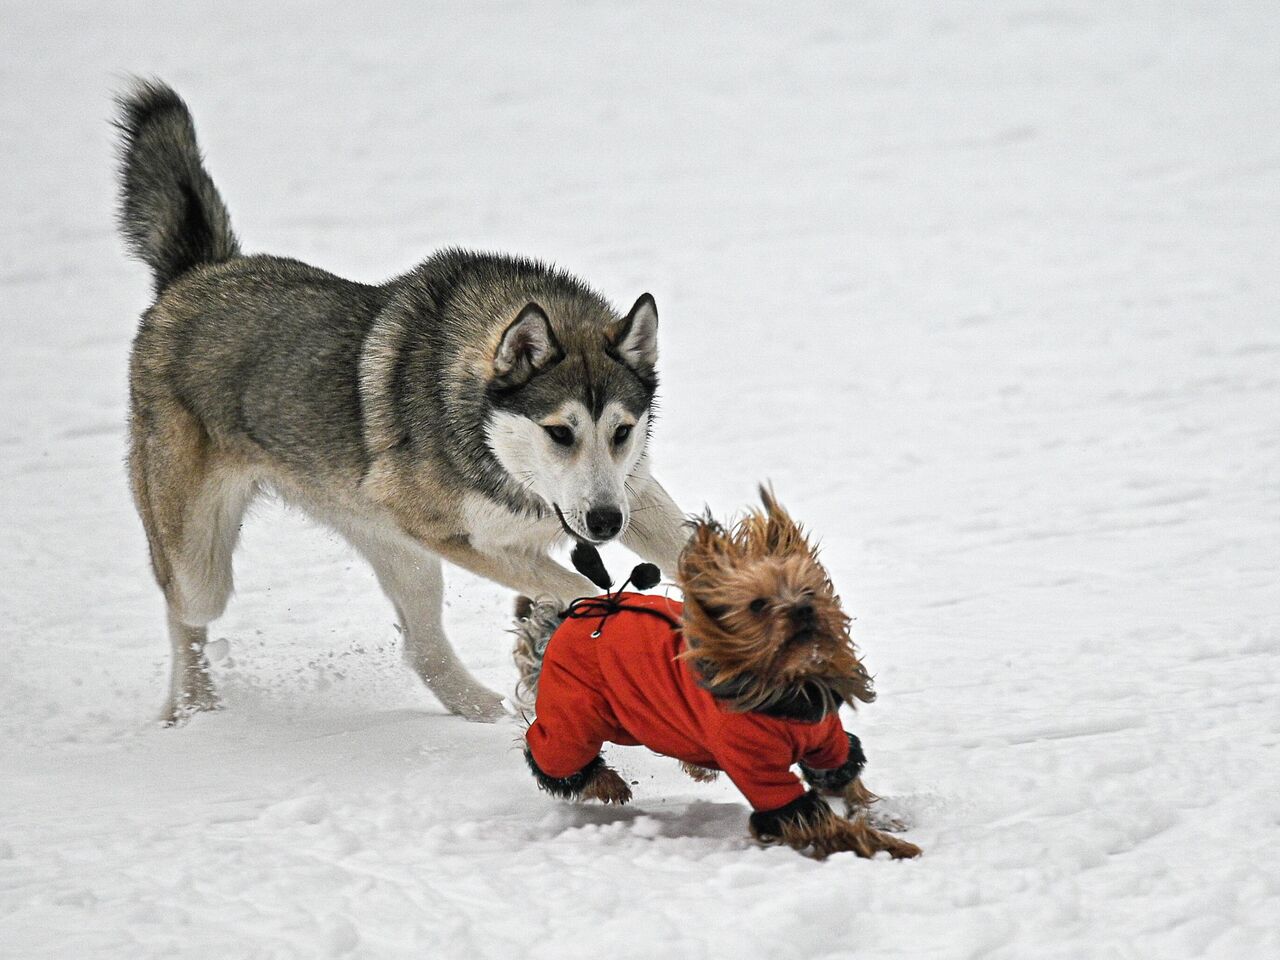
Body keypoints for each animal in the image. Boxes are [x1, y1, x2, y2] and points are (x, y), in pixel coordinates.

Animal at [115, 82, 686, 727]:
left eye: (622, 431)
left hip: (396, 550)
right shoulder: (465, 539)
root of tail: (195, 273)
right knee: (184, 616)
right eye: (560, 432)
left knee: (421, 648)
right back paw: (192, 710)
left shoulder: (632, 491)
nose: (606, 524)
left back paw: (485, 711)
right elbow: (583, 590)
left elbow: (685, 548)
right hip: (203, 565)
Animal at [514, 491, 926, 860]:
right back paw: (605, 782)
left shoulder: (826, 740)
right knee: (550, 752)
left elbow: (844, 777)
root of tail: (564, 621)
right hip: (573, 712)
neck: (788, 686)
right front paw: (892, 848)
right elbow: (810, 820)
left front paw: (882, 814)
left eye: (809, 590)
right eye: (758, 605)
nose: (804, 610)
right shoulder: (758, 768)